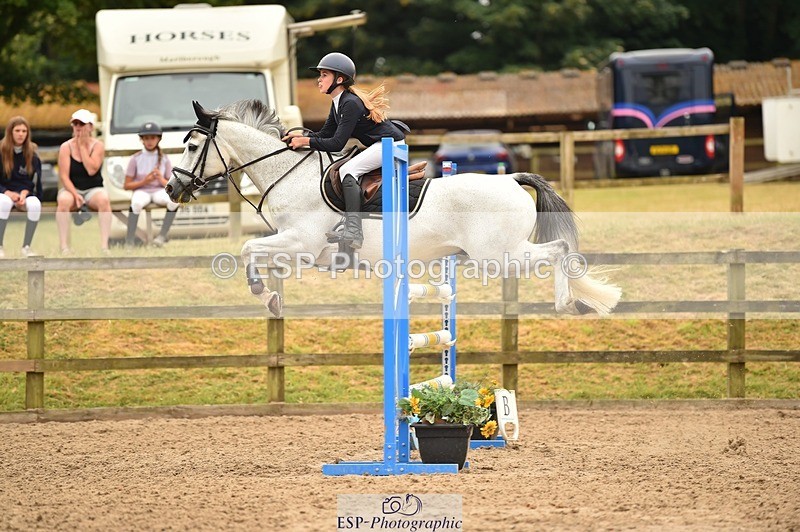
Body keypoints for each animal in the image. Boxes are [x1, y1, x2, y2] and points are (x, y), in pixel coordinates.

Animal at [166, 99, 621, 318]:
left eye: (192, 145)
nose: (172, 188)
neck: (288, 174)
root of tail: (510, 179)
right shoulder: (298, 248)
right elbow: (254, 252)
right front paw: (272, 297)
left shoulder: (302, 244)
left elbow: (247, 249)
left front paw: (264, 295)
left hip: (499, 255)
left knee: (560, 250)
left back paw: (569, 304)